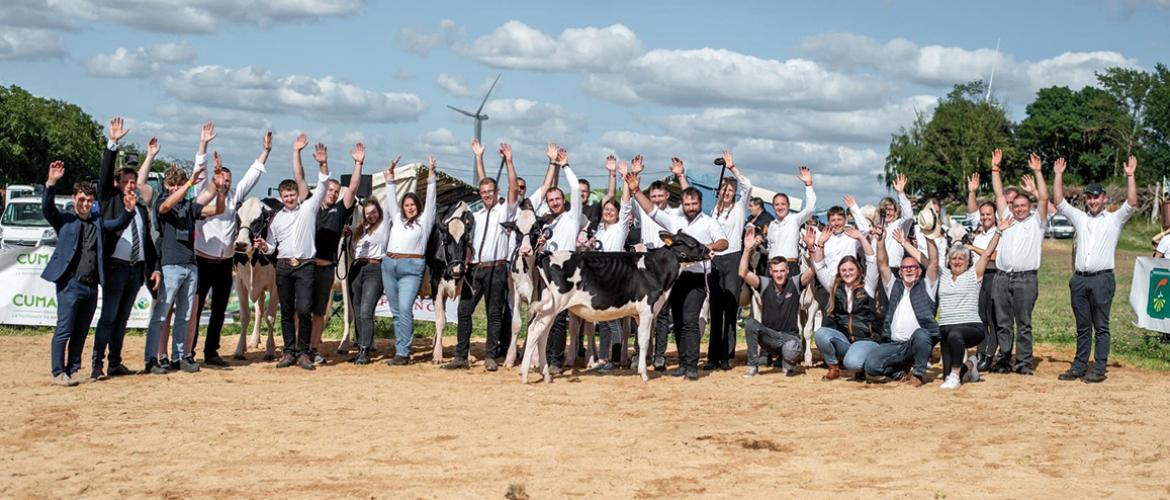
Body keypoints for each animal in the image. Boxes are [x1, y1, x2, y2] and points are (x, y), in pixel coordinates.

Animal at [521, 230, 711, 384]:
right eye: (692, 242)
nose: (709, 250)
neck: (655, 269)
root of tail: (546, 254)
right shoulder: (646, 309)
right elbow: (644, 341)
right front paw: (643, 374)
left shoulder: (641, 314)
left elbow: (640, 339)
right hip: (553, 306)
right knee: (534, 332)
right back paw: (524, 374)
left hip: (548, 308)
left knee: (541, 335)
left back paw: (546, 375)